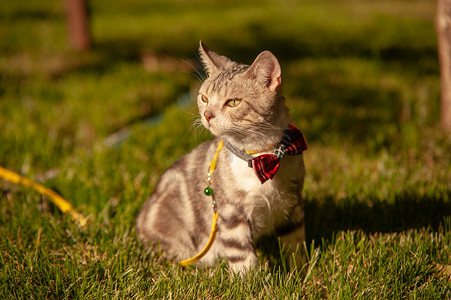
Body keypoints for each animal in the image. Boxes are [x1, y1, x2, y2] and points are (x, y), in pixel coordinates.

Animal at [137, 41, 308, 274]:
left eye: (233, 102)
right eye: (204, 98)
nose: (207, 115)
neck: (262, 156)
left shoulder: (293, 203)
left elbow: (296, 245)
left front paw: (303, 274)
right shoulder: (231, 212)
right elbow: (241, 255)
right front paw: (251, 280)